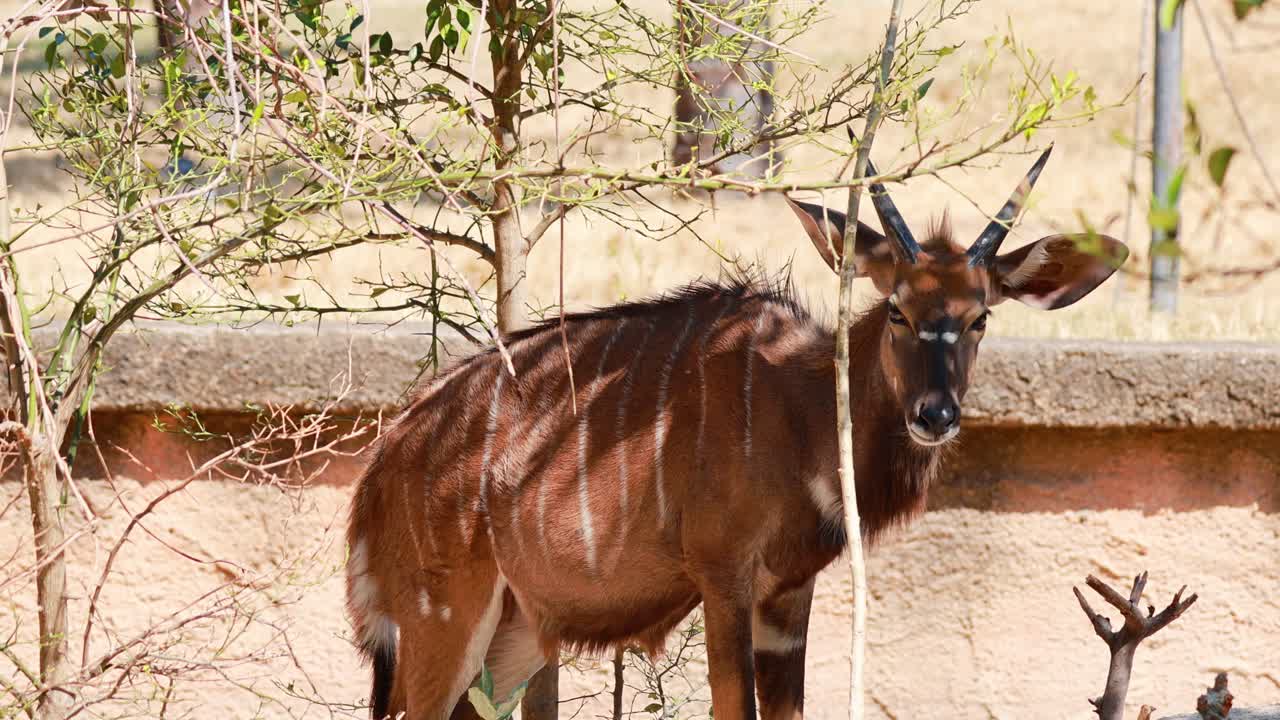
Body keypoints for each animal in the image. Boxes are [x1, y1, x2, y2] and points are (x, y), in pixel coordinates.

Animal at [345, 147, 1128, 720]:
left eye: (980, 317)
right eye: (898, 309)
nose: (934, 415)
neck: (802, 407)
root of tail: (386, 458)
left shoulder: (788, 591)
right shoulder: (722, 573)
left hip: (516, 631)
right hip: (443, 617)